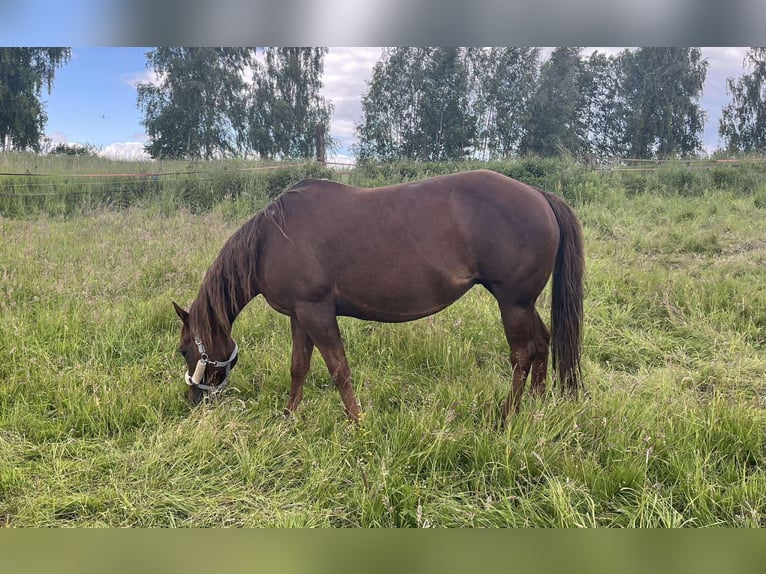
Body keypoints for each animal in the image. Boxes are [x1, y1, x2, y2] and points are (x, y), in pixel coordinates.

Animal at [173, 169, 584, 421]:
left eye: (183, 349)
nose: (194, 400)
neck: (271, 240)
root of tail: (538, 195)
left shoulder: (317, 313)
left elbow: (339, 370)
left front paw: (357, 423)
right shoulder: (299, 315)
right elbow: (298, 367)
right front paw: (288, 418)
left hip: (512, 303)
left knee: (522, 354)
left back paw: (506, 416)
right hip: (523, 303)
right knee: (542, 343)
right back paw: (536, 408)